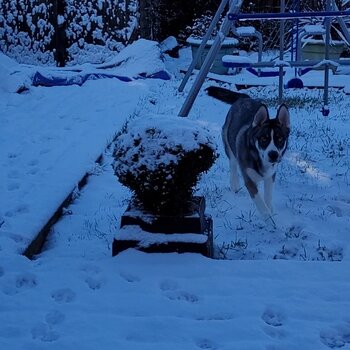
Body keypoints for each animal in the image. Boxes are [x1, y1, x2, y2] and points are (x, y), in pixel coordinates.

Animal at [206, 86, 292, 226]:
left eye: (280, 139)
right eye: (263, 139)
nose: (273, 155)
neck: (259, 159)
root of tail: (244, 97)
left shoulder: (271, 175)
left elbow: (268, 197)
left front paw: (270, 210)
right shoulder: (249, 180)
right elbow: (260, 202)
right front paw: (270, 221)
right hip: (228, 141)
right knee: (233, 163)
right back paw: (234, 183)